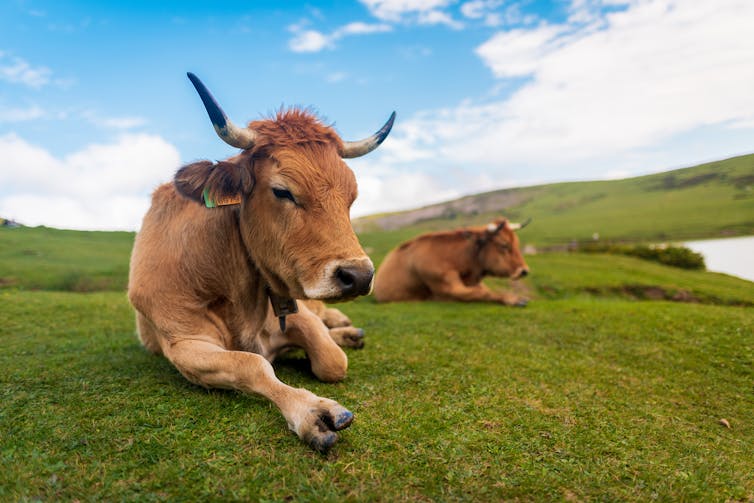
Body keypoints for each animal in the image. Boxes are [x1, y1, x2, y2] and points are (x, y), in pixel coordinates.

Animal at [127, 74, 394, 452]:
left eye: (352, 197)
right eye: (283, 191)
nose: (358, 276)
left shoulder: (291, 312)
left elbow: (332, 360)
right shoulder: (184, 344)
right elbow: (252, 364)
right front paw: (311, 411)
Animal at [372, 220, 528, 308]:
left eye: (517, 243)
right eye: (504, 245)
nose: (524, 271)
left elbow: (483, 290)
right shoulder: (447, 288)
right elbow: (481, 292)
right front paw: (514, 299)